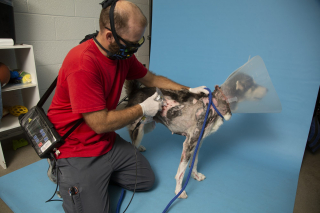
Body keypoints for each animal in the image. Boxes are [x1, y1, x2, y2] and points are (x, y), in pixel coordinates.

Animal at [124, 71, 266, 198]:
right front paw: (179, 191)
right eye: (252, 84)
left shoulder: (198, 142)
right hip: (138, 129)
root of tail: (135, 91)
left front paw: (195, 176)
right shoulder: (189, 143)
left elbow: (194, 163)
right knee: (132, 143)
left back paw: (140, 147)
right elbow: (181, 173)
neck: (214, 104)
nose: (267, 89)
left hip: (148, 126)